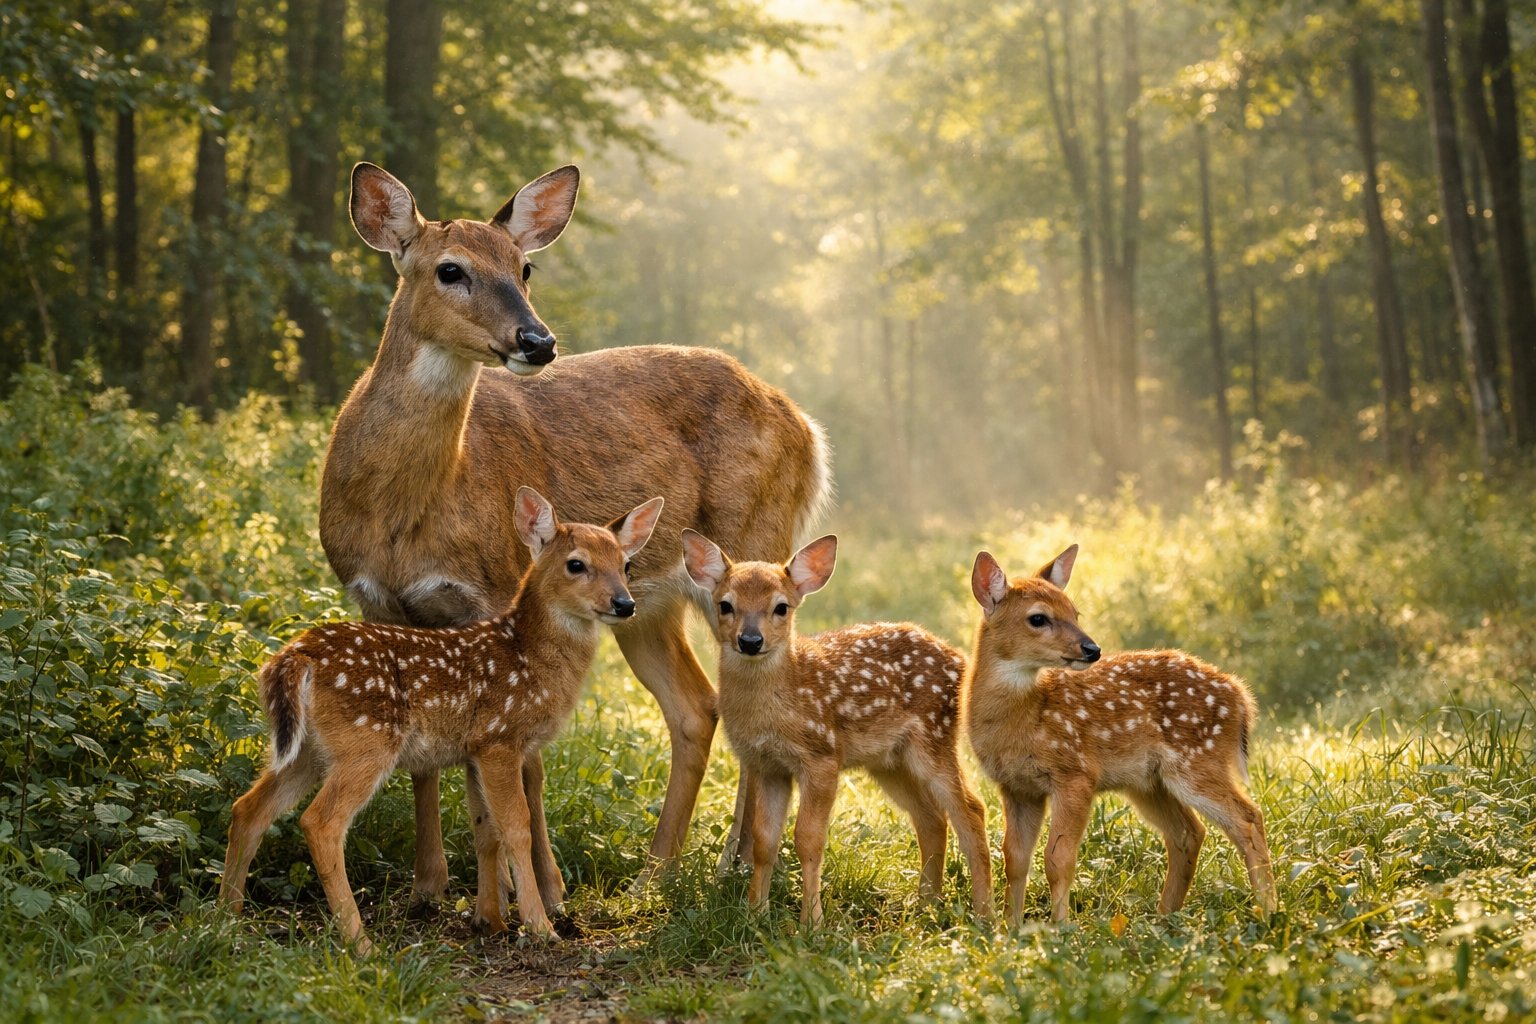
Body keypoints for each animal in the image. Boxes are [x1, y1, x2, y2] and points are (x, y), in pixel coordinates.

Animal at [220, 487, 663, 954]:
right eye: (576, 563)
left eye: (626, 565)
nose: (625, 604)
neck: (528, 659)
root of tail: (295, 657)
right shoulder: (499, 737)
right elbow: (516, 826)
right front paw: (540, 927)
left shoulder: (474, 749)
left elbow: (485, 828)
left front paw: (491, 922)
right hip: (366, 743)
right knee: (320, 823)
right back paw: (362, 944)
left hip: (306, 750)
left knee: (249, 808)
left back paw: (225, 920)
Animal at [325, 162, 833, 908]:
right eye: (450, 269)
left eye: (525, 267)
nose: (538, 341)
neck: (408, 513)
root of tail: (807, 427)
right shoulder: (377, 600)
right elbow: (423, 758)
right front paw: (428, 887)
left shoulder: (497, 587)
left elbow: (524, 761)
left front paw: (543, 891)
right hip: (646, 602)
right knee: (696, 707)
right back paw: (663, 871)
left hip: (753, 553)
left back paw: (722, 867)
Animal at [682, 531, 993, 926]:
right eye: (725, 605)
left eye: (781, 607)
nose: (750, 641)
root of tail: (960, 660)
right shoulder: (767, 766)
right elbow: (765, 841)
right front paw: (755, 916)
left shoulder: (822, 757)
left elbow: (808, 839)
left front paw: (811, 924)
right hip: (889, 761)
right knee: (931, 818)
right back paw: (925, 907)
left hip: (934, 739)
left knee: (970, 809)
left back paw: (984, 915)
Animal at [964, 545, 1279, 927]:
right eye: (1038, 618)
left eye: (1075, 612)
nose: (1092, 649)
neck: (1020, 721)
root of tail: (1240, 696)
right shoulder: (1017, 786)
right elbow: (1014, 859)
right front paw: (1011, 929)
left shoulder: (1076, 773)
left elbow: (1057, 860)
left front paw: (1060, 928)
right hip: (1148, 782)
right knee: (1188, 832)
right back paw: (1163, 917)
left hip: (1196, 761)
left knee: (1247, 818)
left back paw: (1269, 910)